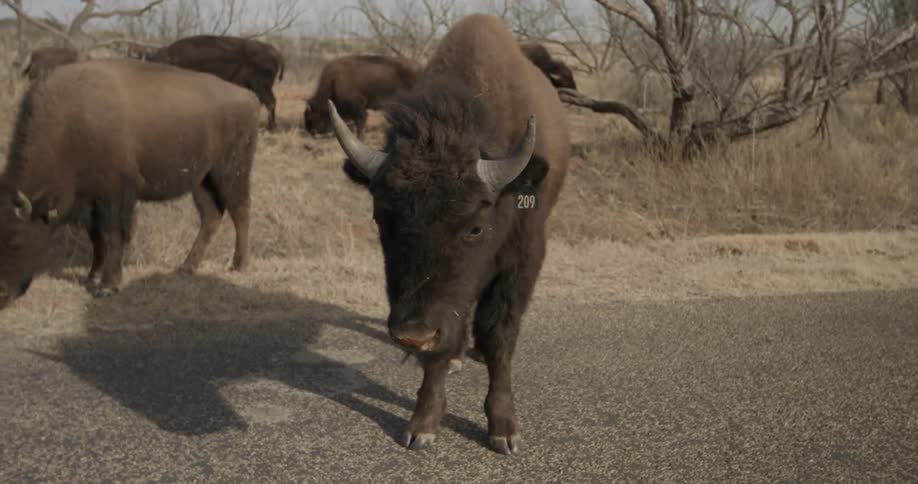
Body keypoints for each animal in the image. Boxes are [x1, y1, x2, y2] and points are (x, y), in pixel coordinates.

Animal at [0, 60, 259, 309]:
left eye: (16, 238)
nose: (2, 294)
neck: (69, 125)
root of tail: (248, 97)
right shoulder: (91, 201)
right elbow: (96, 237)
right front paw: (93, 275)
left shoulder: (114, 195)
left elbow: (112, 235)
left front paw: (107, 286)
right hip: (201, 181)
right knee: (211, 216)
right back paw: (186, 267)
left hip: (230, 173)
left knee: (241, 211)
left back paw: (238, 264)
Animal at [330, 14, 571, 454]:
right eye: (380, 218)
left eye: (475, 226)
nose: (412, 335)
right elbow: (438, 352)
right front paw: (422, 424)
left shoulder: (522, 262)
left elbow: (499, 336)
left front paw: (503, 429)